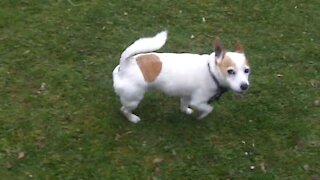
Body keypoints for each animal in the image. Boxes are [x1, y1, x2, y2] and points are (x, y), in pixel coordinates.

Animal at [112, 31, 250, 124]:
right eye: (230, 71)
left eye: (247, 71)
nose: (245, 86)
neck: (211, 70)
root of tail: (125, 65)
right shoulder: (198, 101)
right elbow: (209, 108)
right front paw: (201, 117)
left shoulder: (186, 96)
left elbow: (184, 105)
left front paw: (186, 111)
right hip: (133, 99)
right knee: (124, 109)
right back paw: (132, 118)